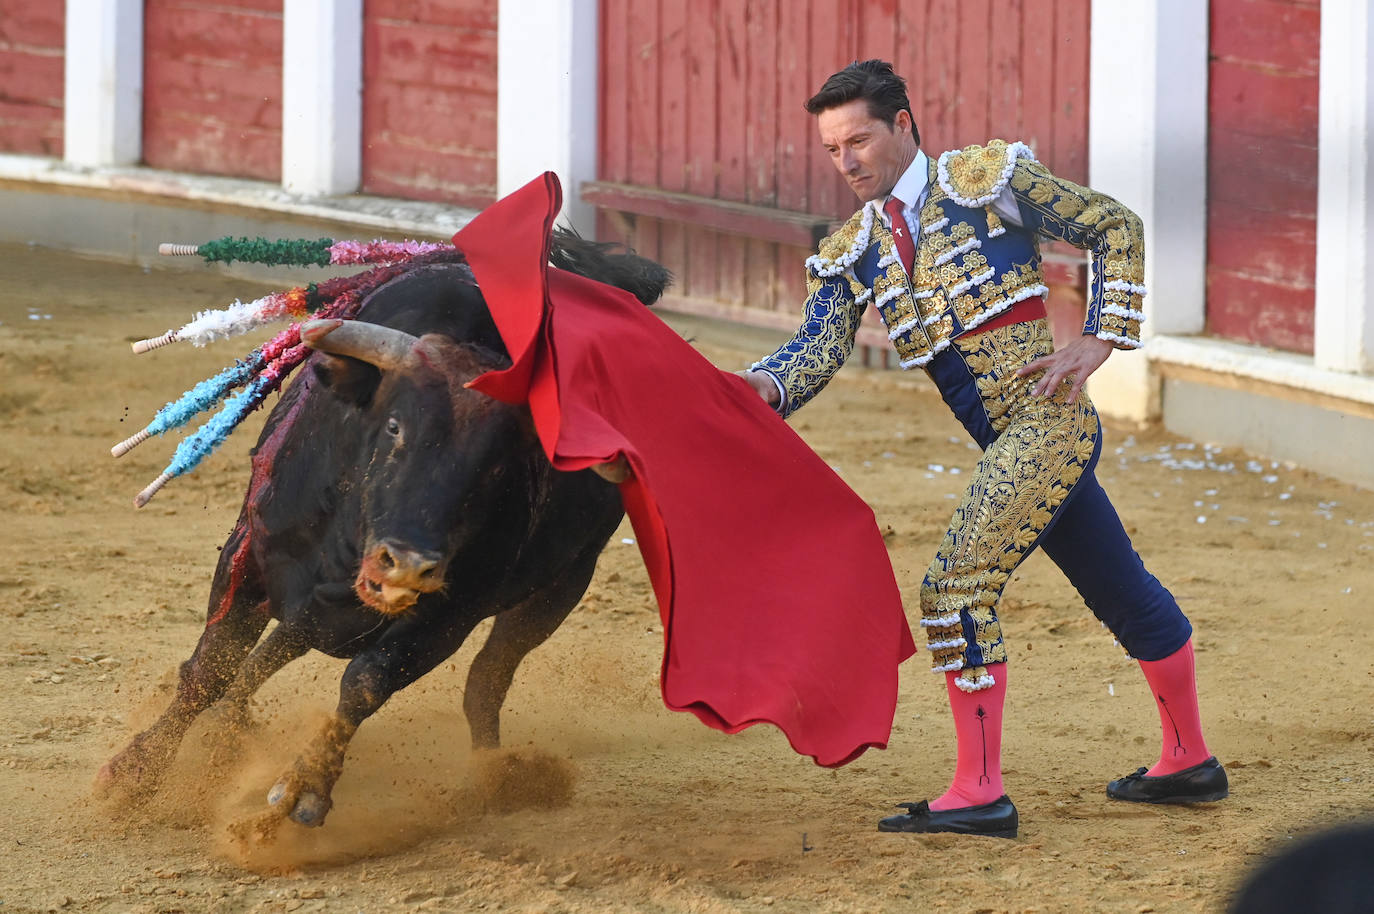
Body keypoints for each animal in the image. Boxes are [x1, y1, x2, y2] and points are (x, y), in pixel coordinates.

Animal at [96, 236, 670, 824]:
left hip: (563, 586)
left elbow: (366, 682)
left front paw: (305, 785)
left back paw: (501, 776)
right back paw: (225, 727)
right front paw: (134, 771)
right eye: (395, 427)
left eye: (499, 465)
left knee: (486, 679)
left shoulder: (450, 615)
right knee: (277, 647)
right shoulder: (249, 554)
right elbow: (211, 665)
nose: (409, 566)